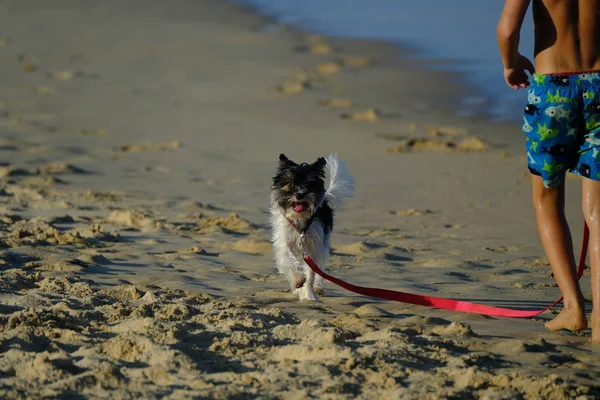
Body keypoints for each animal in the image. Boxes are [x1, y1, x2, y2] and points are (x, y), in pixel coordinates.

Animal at [270, 152, 354, 300]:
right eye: (290, 183)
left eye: (309, 184)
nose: (299, 194)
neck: (300, 219)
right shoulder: (284, 241)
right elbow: (287, 259)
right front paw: (297, 280)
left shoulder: (314, 247)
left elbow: (311, 273)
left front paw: (308, 295)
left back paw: (317, 288)